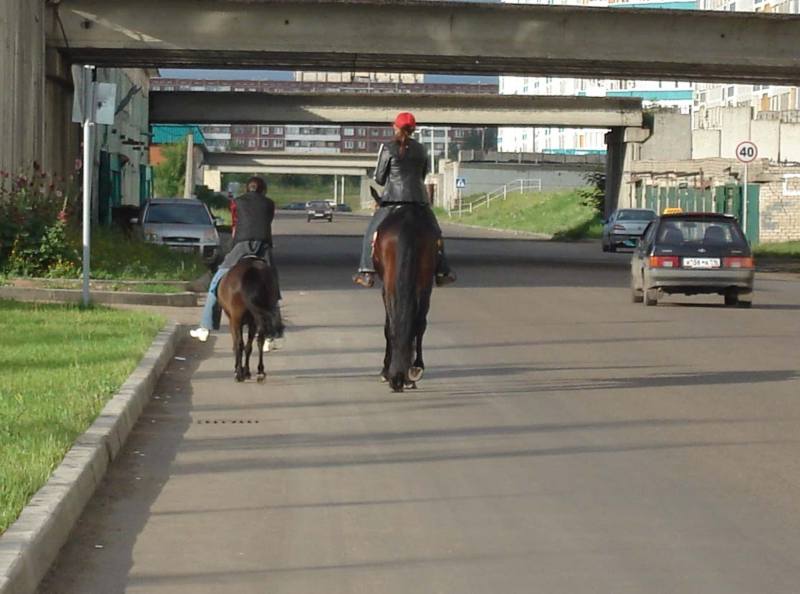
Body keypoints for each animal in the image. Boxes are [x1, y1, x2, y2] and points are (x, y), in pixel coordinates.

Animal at [374, 202, 438, 388]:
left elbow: (388, 325)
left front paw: (385, 371)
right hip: (425, 282)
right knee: (419, 323)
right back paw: (414, 369)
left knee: (395, 324)